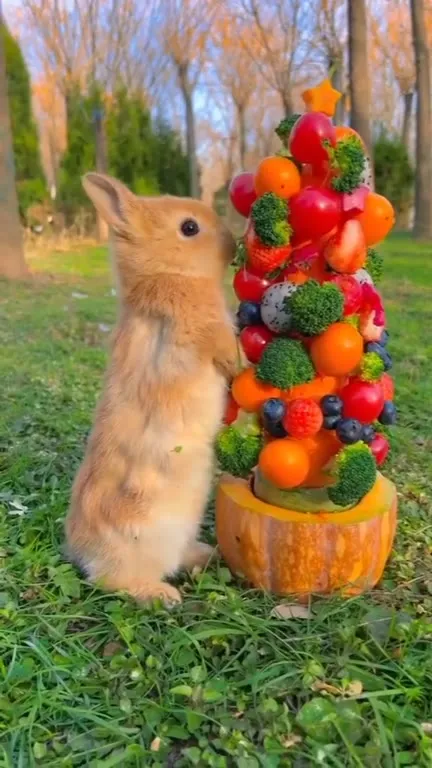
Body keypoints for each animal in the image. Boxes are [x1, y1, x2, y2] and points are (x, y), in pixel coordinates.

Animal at [65, 173, 239, 605]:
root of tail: (82, 552)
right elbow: (230, 356)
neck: (166, 274)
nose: (233, 244)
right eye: (189, 228)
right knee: (112, 582)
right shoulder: (210, 333)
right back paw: (161, 595)